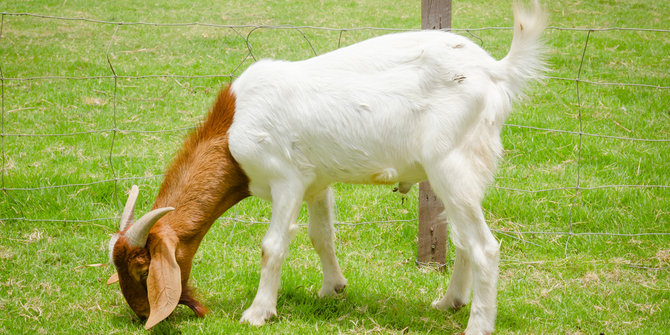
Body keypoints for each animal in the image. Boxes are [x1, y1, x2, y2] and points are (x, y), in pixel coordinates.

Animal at [107, 1, 548, 334]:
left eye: (143, 266)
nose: (142, 314)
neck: (232, 125)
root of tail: (495, 71)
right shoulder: (316, 183)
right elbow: (321, 237)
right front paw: (331, 289)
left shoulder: (286, 180)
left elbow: (273, 245)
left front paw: (257, 312)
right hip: (456, 174)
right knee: (463, 239)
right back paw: (449, 302)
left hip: (451, 164)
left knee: (484, 246)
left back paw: (477, 324)